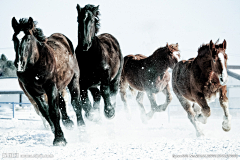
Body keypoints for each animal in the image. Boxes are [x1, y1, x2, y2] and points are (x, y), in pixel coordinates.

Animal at [11, 16, 84, 146]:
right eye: (14, 38)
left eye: (28, 39)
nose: (19, 64)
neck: (35, 66)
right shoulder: (33, 92)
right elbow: (45, 112)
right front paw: (55, 131)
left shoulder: (50, 87)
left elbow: (54, 111)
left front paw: (59, 139)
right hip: (58, 86)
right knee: (62, 103)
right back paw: (68, 123)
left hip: (73, 80)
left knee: (76, 103)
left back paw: (82, 128)